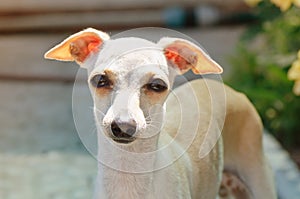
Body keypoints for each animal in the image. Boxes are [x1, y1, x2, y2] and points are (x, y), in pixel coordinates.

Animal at [44, 28, 276, 199]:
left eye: (157, 85)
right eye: (100, 79)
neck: (129, 179)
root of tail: (233, 91)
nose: (123, 126)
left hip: (258, 176)